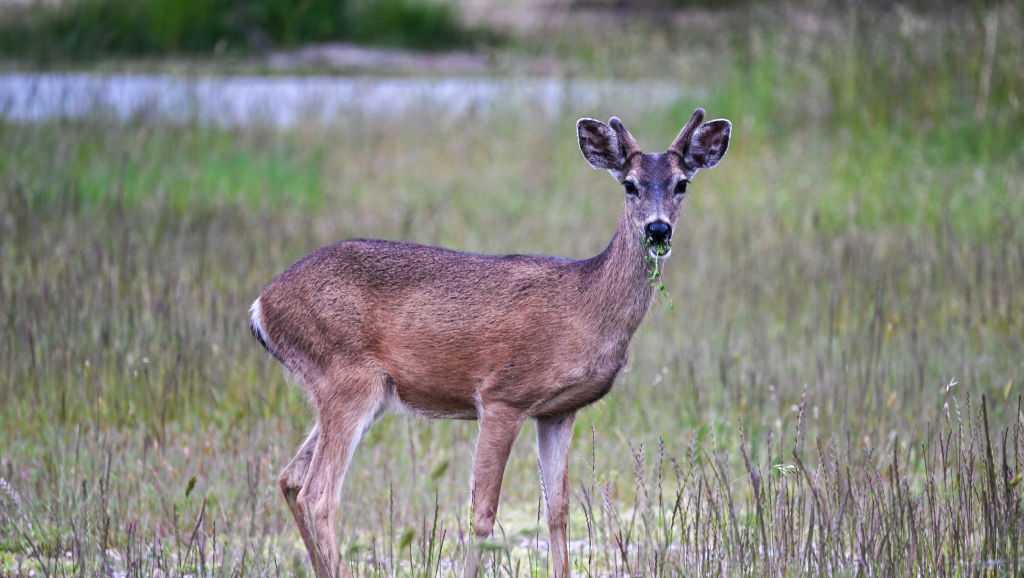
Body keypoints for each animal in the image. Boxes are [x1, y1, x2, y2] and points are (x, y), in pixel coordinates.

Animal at [253, 109, 737, 578]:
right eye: (630, 184)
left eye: (682, 183)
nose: (658, 230)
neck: (585, 305)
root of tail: (262, 306)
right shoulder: (502, 395)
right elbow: (482, 514)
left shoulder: (558, 411)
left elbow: (558, 510)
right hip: (347, 378)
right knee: (318, 494)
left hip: (354, 392)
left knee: (290, 479)